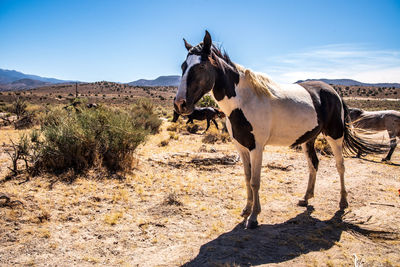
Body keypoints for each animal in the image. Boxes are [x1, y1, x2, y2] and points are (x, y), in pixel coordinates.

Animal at [173, 30, 386, 229]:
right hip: (308, 139)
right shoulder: (242, 148)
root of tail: (333, 91)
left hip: (335, 136)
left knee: (340, 166)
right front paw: (246, 209)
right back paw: (306, 198)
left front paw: (254, 217)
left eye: (201, 66)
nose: (180, 104)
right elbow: (247, 178)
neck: (244, 101)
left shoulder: (257, 148)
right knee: (314, 164)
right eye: (183, 67)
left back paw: (343, 202)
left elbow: (255, 181)